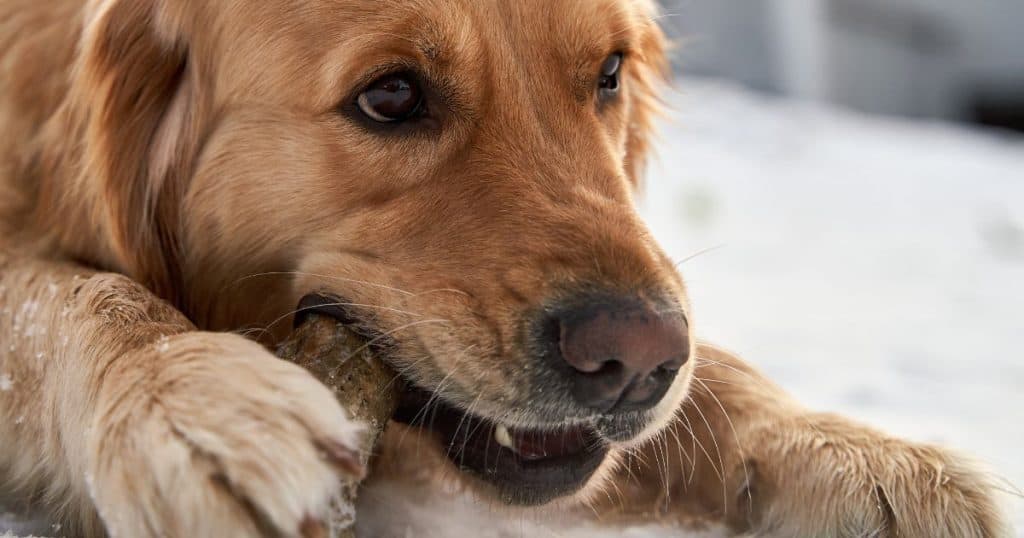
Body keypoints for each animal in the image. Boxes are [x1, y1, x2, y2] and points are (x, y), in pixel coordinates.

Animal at [0, 0, 1007, 532]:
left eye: (610, 73)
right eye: (390, 94)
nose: (638, 359)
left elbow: (718, 365)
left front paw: (850, 451)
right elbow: (72, 293)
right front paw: (193, 406)